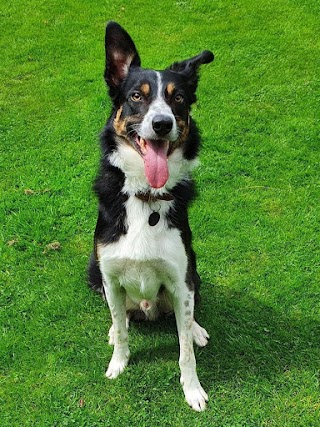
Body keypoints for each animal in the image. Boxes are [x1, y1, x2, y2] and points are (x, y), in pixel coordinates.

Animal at [87, 21, 214, 412]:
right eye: (136, 97)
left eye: (178, 99)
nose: (161, 124)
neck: (146, 194)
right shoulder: (110, 276)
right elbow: (121, 326)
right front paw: (118, 362)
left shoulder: (180, 277)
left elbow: (185, 350)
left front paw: (193, 390)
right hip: (94, 272)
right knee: (121, 316)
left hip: (193, 270)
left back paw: (197, 329)